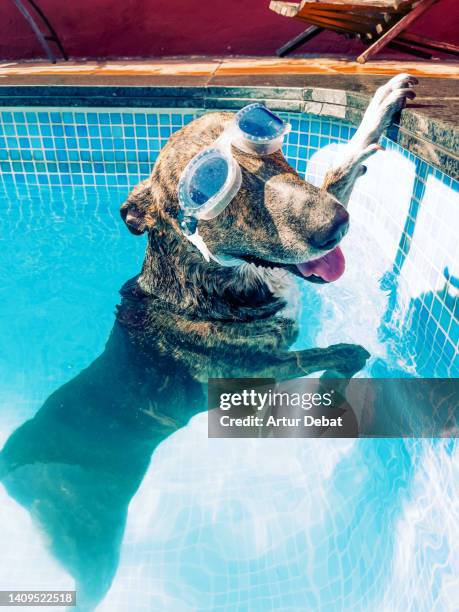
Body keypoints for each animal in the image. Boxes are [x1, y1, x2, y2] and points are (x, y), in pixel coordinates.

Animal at [0, 73, 416, 608]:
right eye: (212, 191)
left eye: (273, 147)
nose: (336, 225)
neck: (208, 278)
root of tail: (11, 462)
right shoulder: (255, 381)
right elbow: (331, 356)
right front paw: (340, 375)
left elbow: (341, 170)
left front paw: (377, 113)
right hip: (89, 539)